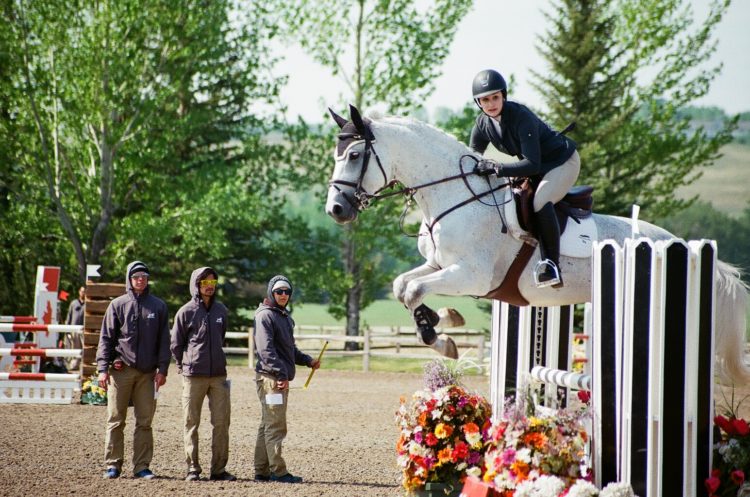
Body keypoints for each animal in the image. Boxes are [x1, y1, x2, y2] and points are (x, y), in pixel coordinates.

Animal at [326, 105, 748, 384]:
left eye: (355, 154)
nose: (336, 209)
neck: (454, 195)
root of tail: (683, 245)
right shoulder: (440, 266)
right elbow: (404, 286)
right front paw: (445, 324)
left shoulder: (473, 276)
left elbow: (412, 290)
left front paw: (440, 336)